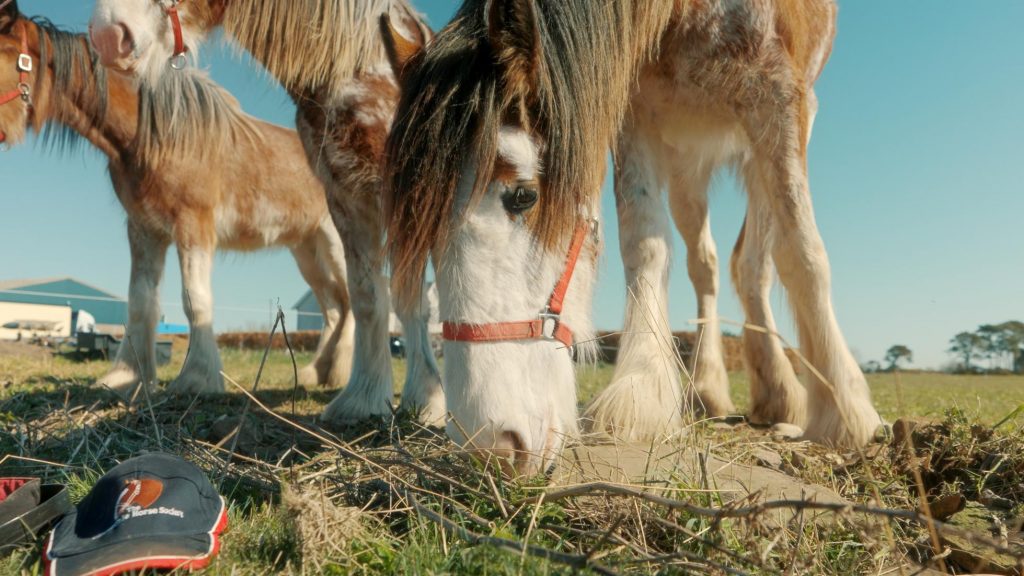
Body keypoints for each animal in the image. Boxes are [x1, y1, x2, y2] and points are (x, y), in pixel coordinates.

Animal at [0, 4, 354, 397]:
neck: (155, 135)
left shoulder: (193, 225)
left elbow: (195, 300)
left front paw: (198, 378)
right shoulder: (144, 229)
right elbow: (140, 302)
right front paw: (126, 377)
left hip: (334, 242)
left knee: (353, 304)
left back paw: (340, 375)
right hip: (305, 249)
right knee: (334, 309)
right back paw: (317, 373)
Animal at [86, 0, 446, 425]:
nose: (108, 36)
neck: (361, 66)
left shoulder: (411, 196)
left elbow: (412, 298)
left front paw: (427, 403)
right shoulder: (345, 194)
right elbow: (369, 295)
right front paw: (364, 401)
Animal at [380, 0, 884, 474]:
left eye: (523, 196)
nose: (490, 445)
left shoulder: (778, 97)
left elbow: (801, 250)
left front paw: (844, 409)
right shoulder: (635, 113)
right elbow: (644, 241)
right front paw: (644, 387)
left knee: (755, 260)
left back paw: (780, 391)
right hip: (685, 161)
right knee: (706, 263)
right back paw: (711, 387)